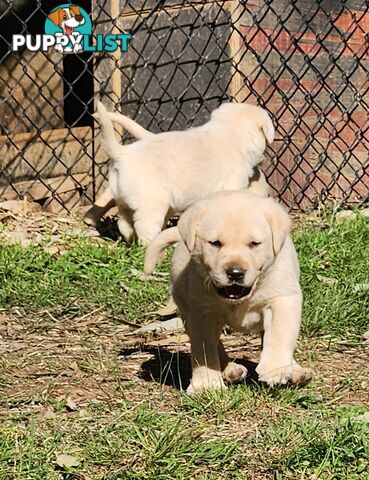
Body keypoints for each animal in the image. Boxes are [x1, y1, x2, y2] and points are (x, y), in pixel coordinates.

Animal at [94, 101, 274, 244]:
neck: (227, 133)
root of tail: (122, 153)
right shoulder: (232, 185)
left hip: (122, 199)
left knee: (124, 223)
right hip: (152, 202)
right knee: (145, 226)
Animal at [144, 189, 314, 396]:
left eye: (254, 244)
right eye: (215, 243)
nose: (235, 272)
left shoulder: (282, 299)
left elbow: (279, 333)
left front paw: (276, 369)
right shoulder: (203, 312)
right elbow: (204, 350)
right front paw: (206, 384)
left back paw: (296, 371)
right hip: (185, 307)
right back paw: (229, 369)